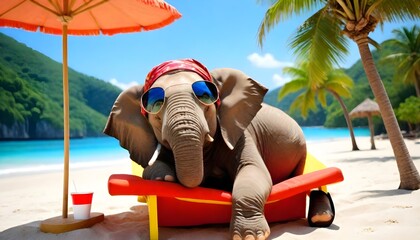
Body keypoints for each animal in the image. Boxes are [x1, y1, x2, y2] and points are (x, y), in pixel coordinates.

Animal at [104, 59, 334, 240]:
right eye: (156, 114)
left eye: (206, 101)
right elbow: (149, 169)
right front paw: (165, 179)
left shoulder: (240, 133)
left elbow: (253, 170)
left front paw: (250, 236)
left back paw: (320, 216)